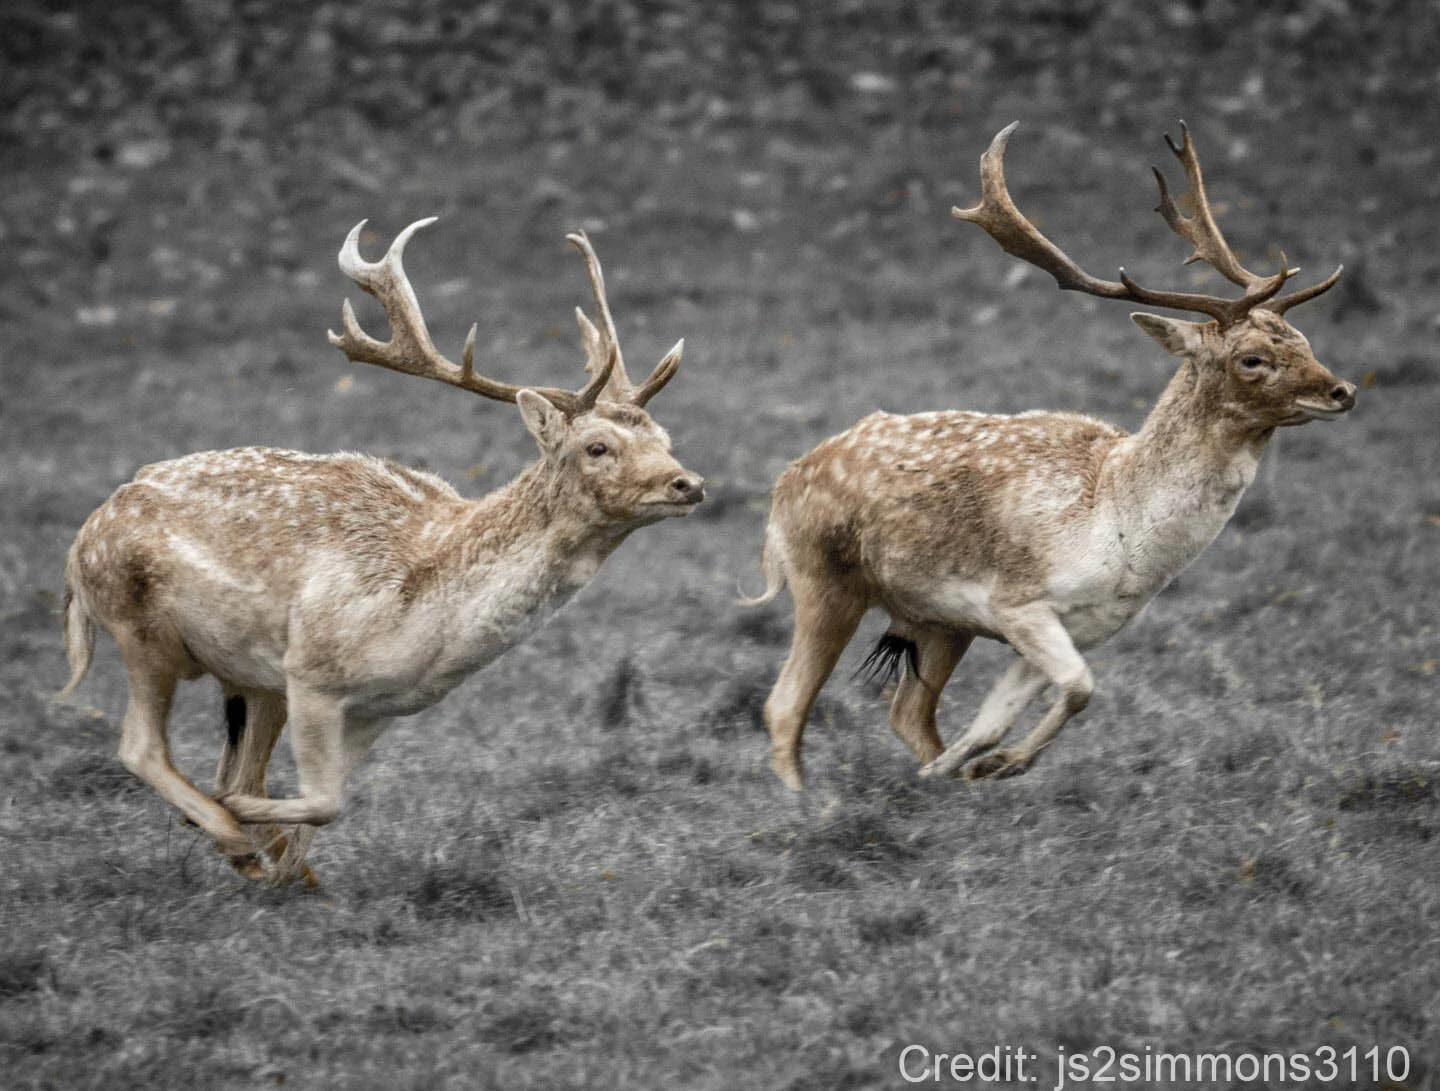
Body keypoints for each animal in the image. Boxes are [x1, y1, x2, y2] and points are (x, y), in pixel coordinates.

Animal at [58, 219, 705, 884]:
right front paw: (245, 827)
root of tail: (80, 549)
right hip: (140, 629)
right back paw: (228, 830)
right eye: (597, 447)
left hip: (249, 679)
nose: (689, 483)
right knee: (141, 746)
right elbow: (323, 801)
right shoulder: (313, 669)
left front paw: (288, 868)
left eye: (665, 439)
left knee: (235, 765)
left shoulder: (382, 707)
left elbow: (322, 809)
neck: (433, 629)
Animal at [746, 122, 1355, 791]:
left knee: (907, 712)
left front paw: (976, 766)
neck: (1119, 532)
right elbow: (1081, 688)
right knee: (784, 705)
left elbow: (1011, 712)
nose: (1342, 391)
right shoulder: (1019, 602)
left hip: (936, 620)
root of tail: (784, 484)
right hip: (824, 577)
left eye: (1305, 340)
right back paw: (806, 804)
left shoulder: (1075, 626)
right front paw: (993, 766)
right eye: (1252, 358)